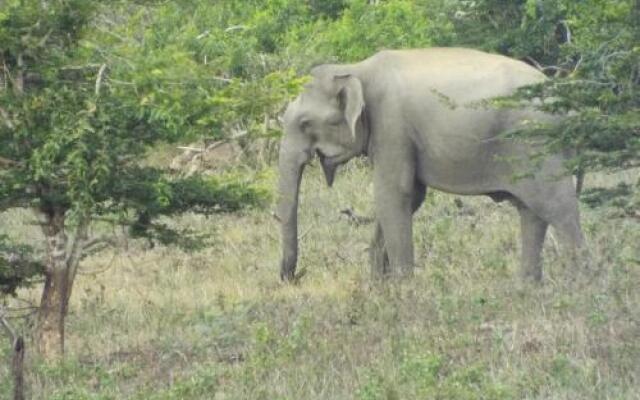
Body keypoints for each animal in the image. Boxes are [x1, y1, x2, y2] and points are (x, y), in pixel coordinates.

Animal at [278, 47, 588, 282]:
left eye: (305, 123)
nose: (292, 277)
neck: (356, 68)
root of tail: (567, 103)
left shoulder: (392, 126)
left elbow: (393, 195)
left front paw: (402, 290)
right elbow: (410, 197)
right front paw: (378, 288)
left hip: (538, 145)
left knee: (558, 208)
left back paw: (580, 287)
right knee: (532, 212)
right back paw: (527, 288)